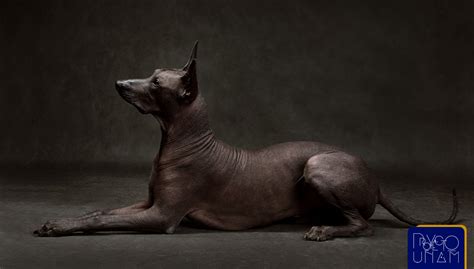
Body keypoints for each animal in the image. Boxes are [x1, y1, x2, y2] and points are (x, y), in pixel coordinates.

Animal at [35, 41, 458, 239]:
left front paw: (59, 227)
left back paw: (325, 231)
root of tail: (376, 180)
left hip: (317, 164)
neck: (183, 142)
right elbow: (100, 212)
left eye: (155, 83)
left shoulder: (162, 216)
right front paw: (61, 220)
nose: (119, 83)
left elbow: (103, 220)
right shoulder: (148, 203)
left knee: (363, 225)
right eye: (151, 73)